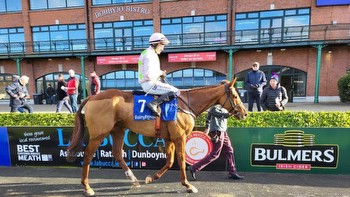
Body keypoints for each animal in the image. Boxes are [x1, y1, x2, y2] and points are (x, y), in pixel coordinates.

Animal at [67, 78, 247, 195]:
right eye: (235, 96)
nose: (244, 113)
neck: (185, 104)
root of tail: (93, 96)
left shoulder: (169, 138)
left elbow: (170, 161)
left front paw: (151, 178)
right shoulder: (180, 137)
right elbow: (181, 161)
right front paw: (188, 185)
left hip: (118, 129)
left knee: (117, 153)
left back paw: (133, 179)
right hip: (99, 133)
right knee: (88, 155)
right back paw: (87, 187)